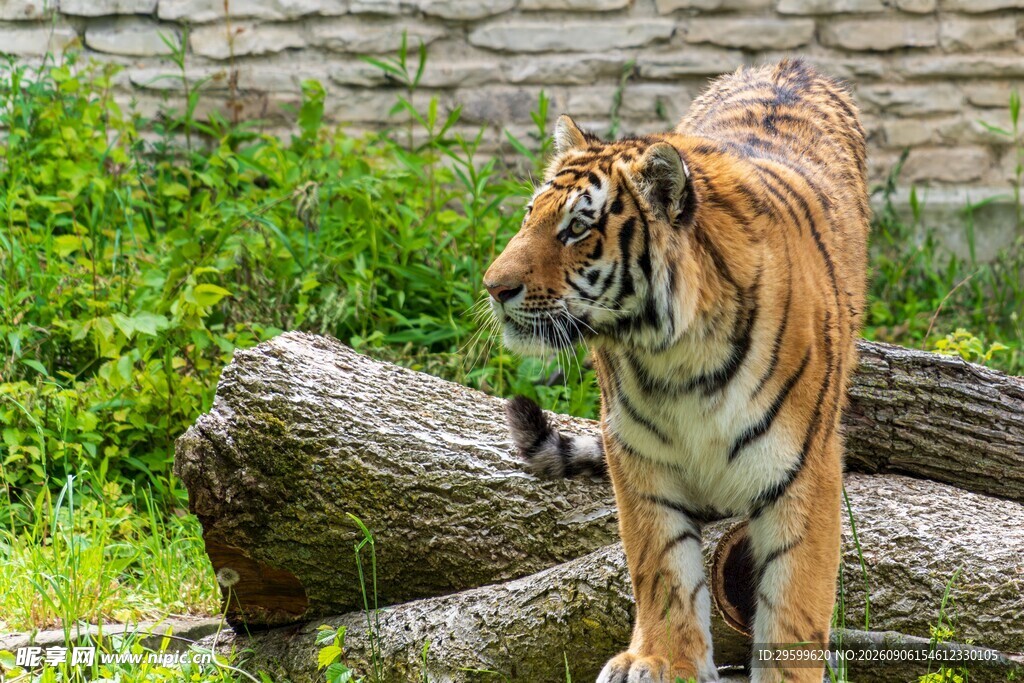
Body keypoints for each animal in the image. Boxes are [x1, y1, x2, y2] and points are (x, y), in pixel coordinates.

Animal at [483, 58, 868, 683]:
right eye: (529, 217)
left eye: (576, 229)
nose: (493, 287)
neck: (676, 355)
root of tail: (786, 64)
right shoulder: (639, 456)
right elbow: (660, 565)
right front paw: (661, 660)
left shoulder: (804, 469)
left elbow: (796, 599)